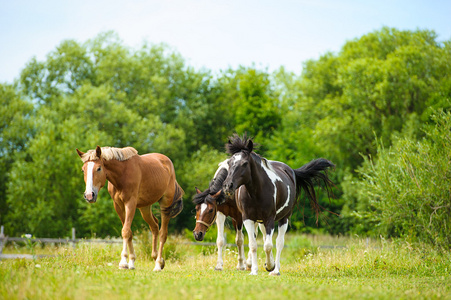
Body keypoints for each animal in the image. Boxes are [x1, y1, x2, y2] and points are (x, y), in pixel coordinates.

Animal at [222, 135, 336, 276]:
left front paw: (270, 266)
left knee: (279, 243)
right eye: (229, 163)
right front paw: (254, 270)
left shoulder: (270, 219)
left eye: (244, 163)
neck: (256, 192)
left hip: (284, 219)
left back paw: (275, 270)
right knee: (264, 238)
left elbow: (268, 245)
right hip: (261, 221)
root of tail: (291, 171)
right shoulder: (248, 218)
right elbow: (254, 245)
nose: (228, 186)